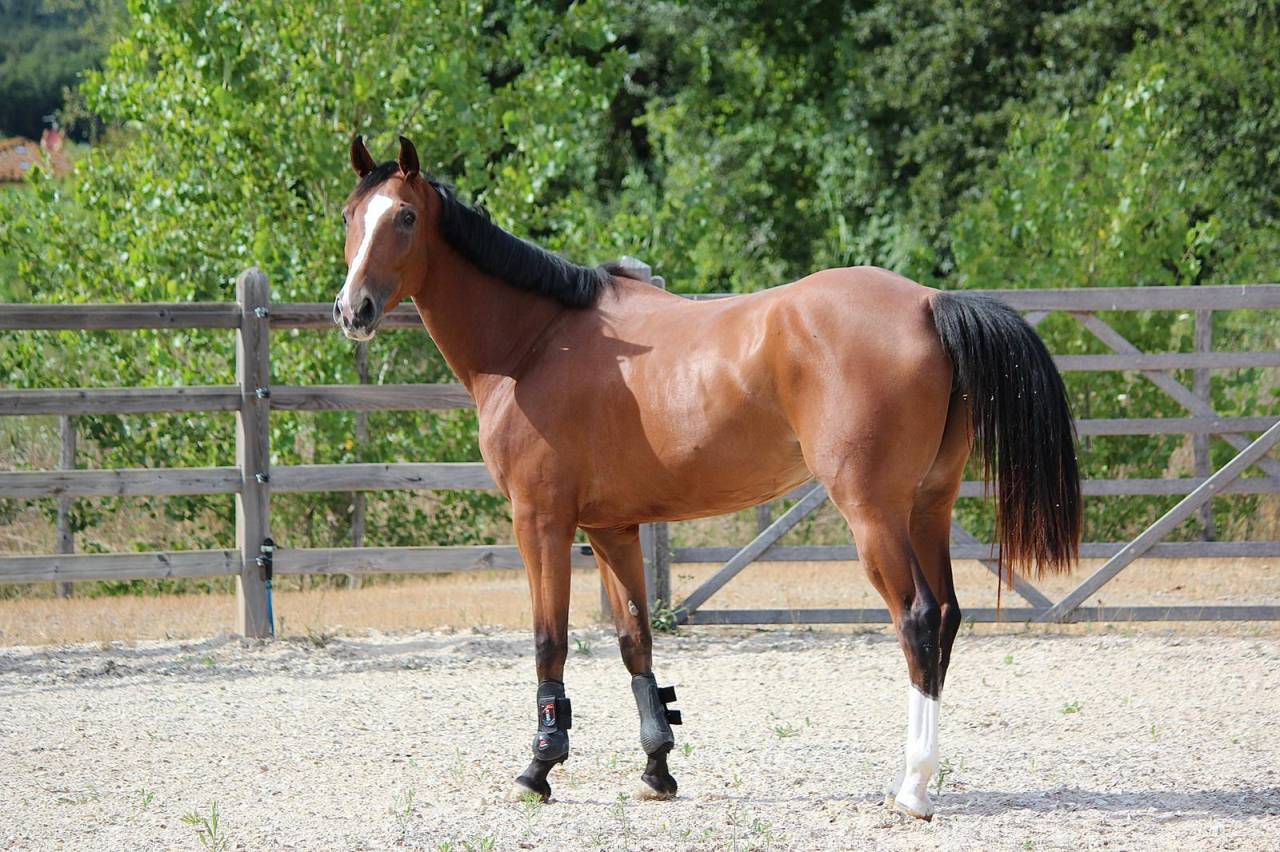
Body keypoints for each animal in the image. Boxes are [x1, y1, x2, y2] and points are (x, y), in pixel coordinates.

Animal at [333, 135, 1081, 819]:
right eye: (349, 214)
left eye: (405, 217)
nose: (352, 310)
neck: (537, 342)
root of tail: (928, 303)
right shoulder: (611, 527)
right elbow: (635, 641)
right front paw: (657, 768)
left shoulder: (539, 520)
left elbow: (550, 642)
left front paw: (537, 769)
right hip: (929, 507)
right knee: (947, 615)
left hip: (873, 513)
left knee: (918, 618)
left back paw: (913, 788)